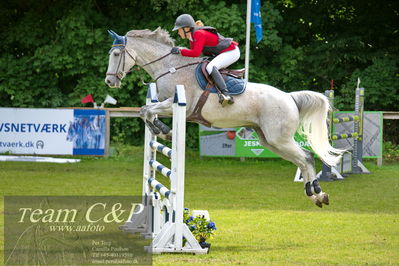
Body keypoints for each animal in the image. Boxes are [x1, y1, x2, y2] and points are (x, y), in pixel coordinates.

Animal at [104, 28, 346, 209]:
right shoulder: (165, 104)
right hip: (270, 141)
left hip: (279, 139)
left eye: (116, 55)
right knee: (302, 160)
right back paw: (315, 195)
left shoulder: (178, 106)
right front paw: (160, 129)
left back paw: (317, 192)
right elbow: (145, 110)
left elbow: (146, 110)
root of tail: (289, 97)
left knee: (306, 157)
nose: (109, 82)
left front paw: (163, 130)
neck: (170, 67)